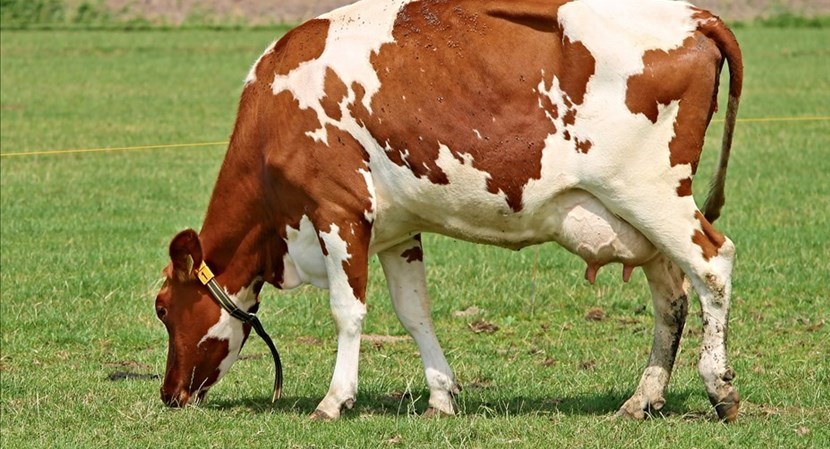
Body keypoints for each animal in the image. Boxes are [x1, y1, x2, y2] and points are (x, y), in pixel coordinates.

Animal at [154, 0, 743, 422]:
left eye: (162, 309)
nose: (169, 394)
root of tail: (695, 15)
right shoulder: (396, 231)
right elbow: (415, 312)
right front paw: (441, 397)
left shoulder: (338, 212)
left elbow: (348, 311)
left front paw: (334, 400)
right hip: (641, 220)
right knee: (672, 297)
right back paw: (642, 399)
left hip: (652, 194)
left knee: (713, 265)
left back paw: (719, 388)